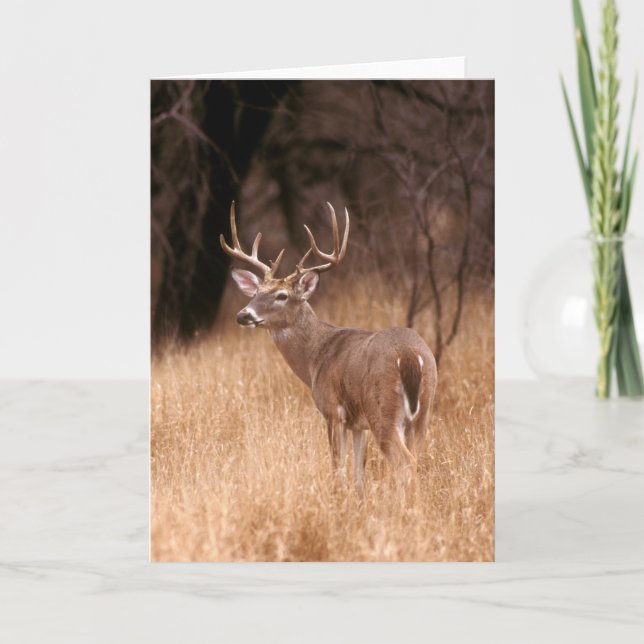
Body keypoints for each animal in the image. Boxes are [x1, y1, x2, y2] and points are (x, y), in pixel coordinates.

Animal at [221, 201, 437, 494]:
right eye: (255, 293)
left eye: (282, 295)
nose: (243, 315)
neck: (316, 358)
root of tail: (410, 356)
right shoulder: (358, 424)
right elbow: (359, 471)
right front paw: (358, 498)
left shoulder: (332, 410)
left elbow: (337, 467)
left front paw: (337, 497)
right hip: (423, 412)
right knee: (415, 461)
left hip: (383, 409)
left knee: (404, 464)